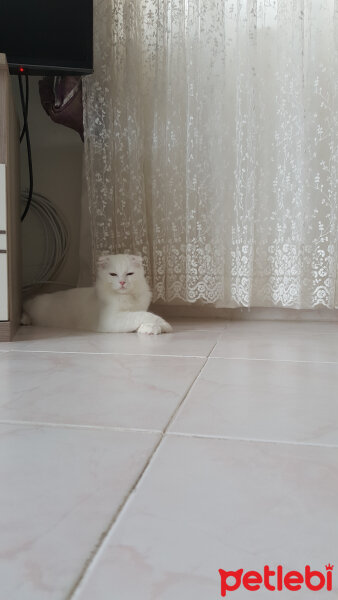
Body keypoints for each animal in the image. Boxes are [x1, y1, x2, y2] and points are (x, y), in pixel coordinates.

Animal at [22, 253, 173, 336]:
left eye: (130, 274)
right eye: (113, 274)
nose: (122, 282)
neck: (127, 297)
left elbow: (144, 317)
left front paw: (150, 329)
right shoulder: (112, 319)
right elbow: (143, 316)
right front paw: (165, 325)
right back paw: (25, 320)